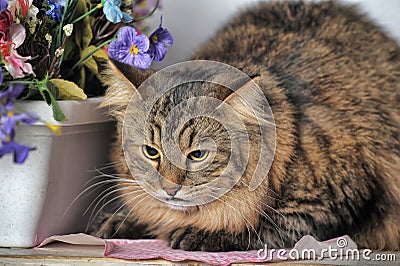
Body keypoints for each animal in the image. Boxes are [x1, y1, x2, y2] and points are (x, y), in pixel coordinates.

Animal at [94, 0, 400, 251]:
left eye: (197, 155)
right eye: (151, 152)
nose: (169, 190)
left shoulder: (334, 201)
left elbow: (264, 225)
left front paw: (200, 233)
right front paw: (121, 221)